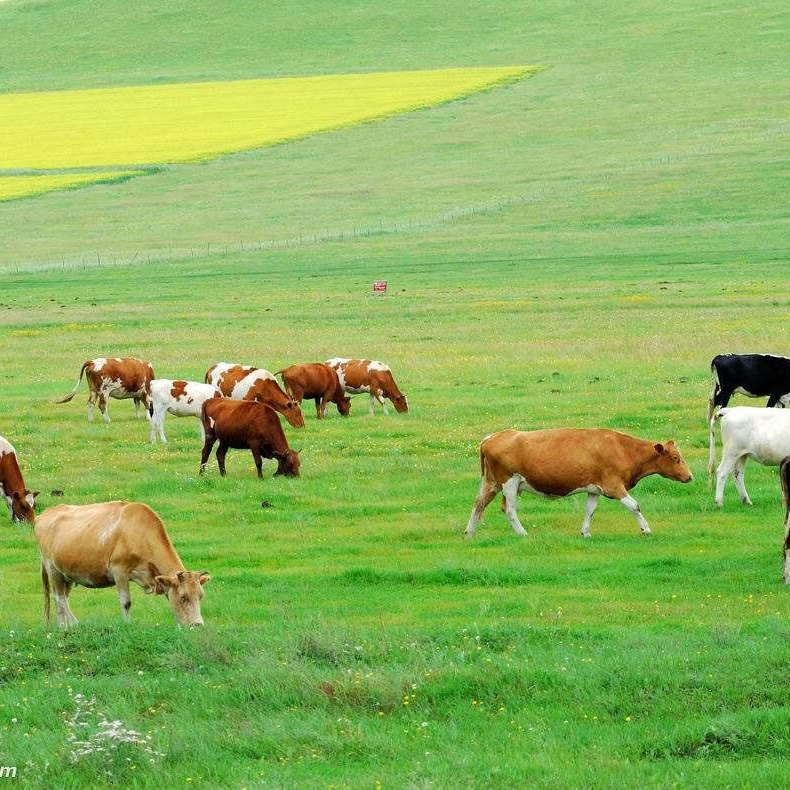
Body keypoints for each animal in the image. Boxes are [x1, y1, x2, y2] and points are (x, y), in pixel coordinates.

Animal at [34, 504, 210, 628]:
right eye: (183, 597)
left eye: (200, 596)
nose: (197, 625)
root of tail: (43, 515)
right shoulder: (119, 571)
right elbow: (126, 602)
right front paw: (127, 625)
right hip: (52, 568)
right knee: (59, 597)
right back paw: (72, 624)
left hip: (66, 573)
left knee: (61, 598)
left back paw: (63, 626)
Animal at [464, 430, 692, 540]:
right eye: (675, 458)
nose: (689, 477)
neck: (623, 449)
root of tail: (491, 437)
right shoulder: (614, 486)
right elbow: (634, 506)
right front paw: (645, 529)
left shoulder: (595, 488)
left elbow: (590, 510)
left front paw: (585, 532)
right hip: (509, 482)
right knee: (509, 509)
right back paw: (522, 533)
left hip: (491, 483)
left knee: (478, 504)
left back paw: (469, 533)